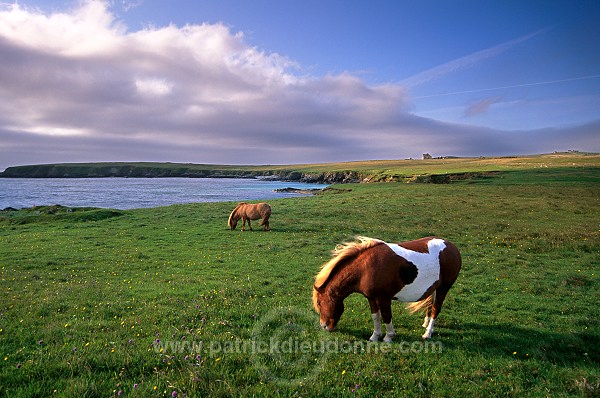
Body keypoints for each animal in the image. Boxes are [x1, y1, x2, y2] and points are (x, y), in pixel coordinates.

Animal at [314, 238, 460, 340]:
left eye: (320, 303)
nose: (323, 325)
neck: (365, 268)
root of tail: (453, 247)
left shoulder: (383, 299)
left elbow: (386, 316)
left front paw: (389, 336)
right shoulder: (371, 298)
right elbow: (375, 316)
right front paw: (375, 335)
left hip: (443, 288)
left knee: (436, 309)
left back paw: (428, 333)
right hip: (435, 288)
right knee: (431, 306)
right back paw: (426, 323)